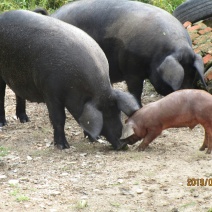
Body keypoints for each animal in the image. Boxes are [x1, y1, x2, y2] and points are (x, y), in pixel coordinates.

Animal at [0, 9, 139, 149]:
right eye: (104, 115)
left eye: (117, 112)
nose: (124, 143)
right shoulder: (50, 92)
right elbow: (58, 118)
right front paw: (63, 146)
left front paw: (93, 139)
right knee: (2, 96)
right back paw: (3, 123)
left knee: (18, 93)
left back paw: (24, 120)